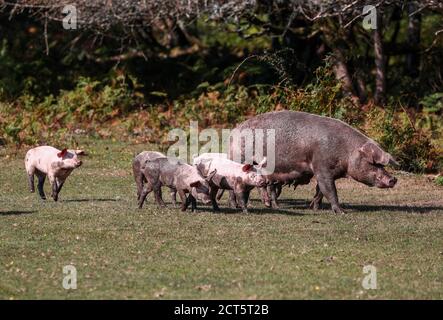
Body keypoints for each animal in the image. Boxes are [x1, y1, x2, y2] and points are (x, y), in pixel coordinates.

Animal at [231, 110, 400, 212]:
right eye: (373, 163)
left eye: (381, 164)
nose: (393, 179)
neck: (346, 151)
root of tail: (235, 130)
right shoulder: (322, 167)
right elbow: (330, 190)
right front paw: (342, 212)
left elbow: (320, 191)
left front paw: (314, 207)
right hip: (240, 159)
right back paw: (236, 206)